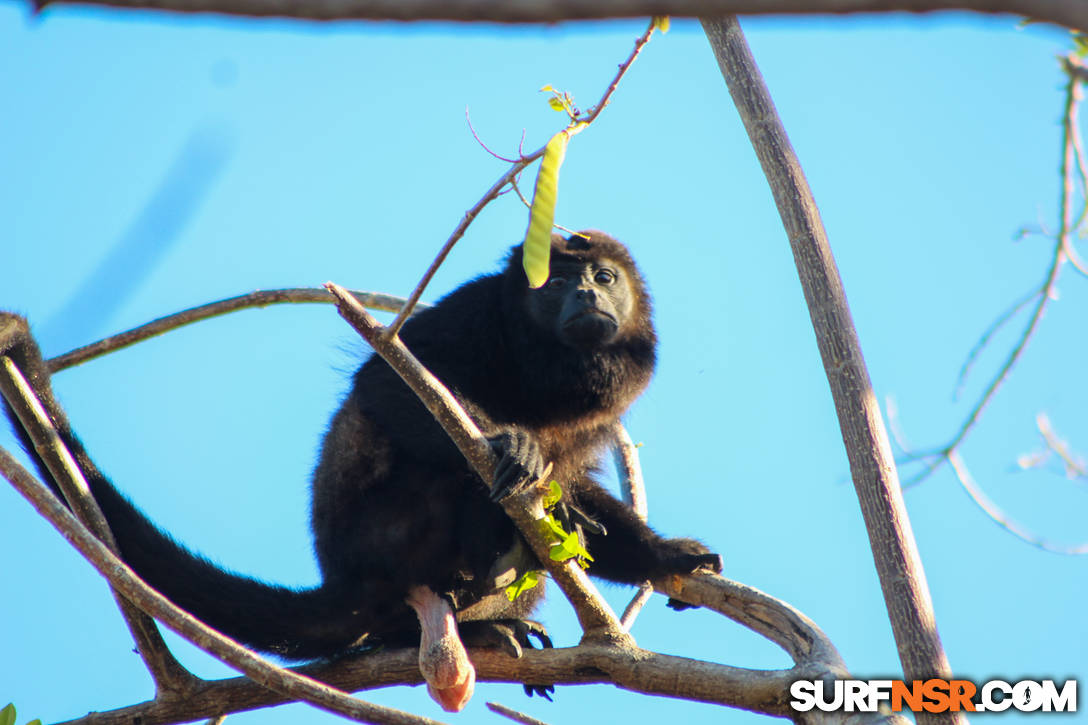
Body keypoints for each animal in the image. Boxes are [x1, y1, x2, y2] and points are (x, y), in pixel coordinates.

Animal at [8, 229, 726, 705]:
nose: (582, 292)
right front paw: (509, 443)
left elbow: (579, 486)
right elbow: (387, 382)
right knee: (442, 474)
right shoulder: (473, 309)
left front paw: (667, 555)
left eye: (604, 277)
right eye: (552, 281)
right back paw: (477, 581)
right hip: (389, 535)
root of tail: (344, 579)